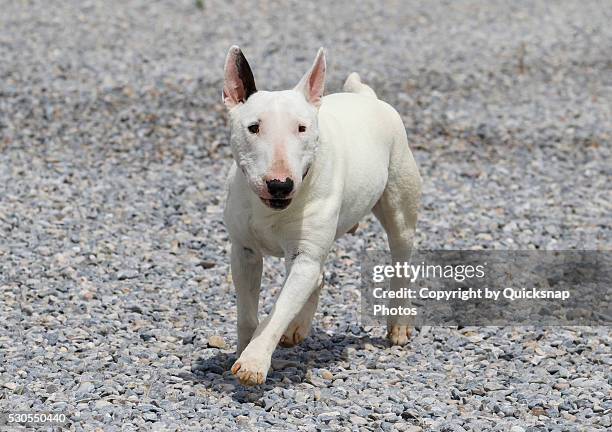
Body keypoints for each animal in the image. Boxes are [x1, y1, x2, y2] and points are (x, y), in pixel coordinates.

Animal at [224, 47, 420, 384]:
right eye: (253, 127)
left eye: (302, 128)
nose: (280, 185)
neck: (270, 210)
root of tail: (366, 96)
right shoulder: (244, 251)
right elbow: (248, 312)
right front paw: (243, 349)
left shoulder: (304, 256)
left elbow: (279, 308)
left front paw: (253, 361)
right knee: (317, 276)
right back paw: (297, 327)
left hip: (400, 206)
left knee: (400, 260)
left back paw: (398, 325)